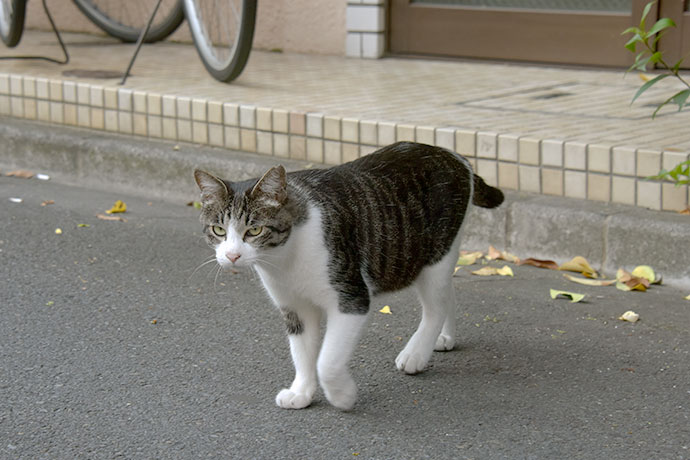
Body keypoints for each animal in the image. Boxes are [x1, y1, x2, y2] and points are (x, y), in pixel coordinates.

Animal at [191, 140, 502, 410]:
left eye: (254, 230)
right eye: (219, 230)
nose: (232, 255)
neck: (284, 260)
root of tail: (455, 155)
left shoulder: (351, 298)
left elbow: (327, 362)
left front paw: (343, 396)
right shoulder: (294, 308)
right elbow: (302, 353)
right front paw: (301, 392)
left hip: (435, 256)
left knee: (435, 306)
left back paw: (416, 353)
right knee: (448, 292)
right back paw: (445, 337)